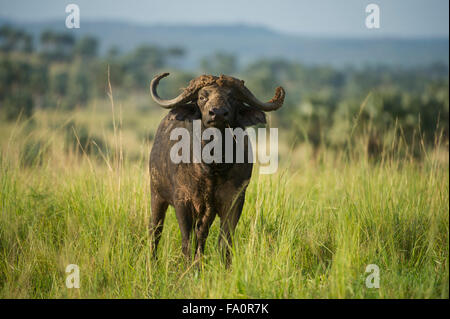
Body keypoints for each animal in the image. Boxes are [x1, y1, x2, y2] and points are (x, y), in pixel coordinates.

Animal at [150, 73, 284, 264]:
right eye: (202, 97)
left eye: (232, 98)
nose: (218, 113)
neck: (213, 165)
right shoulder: (182, 201)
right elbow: (186, 241)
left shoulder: (234, 201)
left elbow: (224, 242)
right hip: (156, 194)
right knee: (155, 230)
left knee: (201, 234)